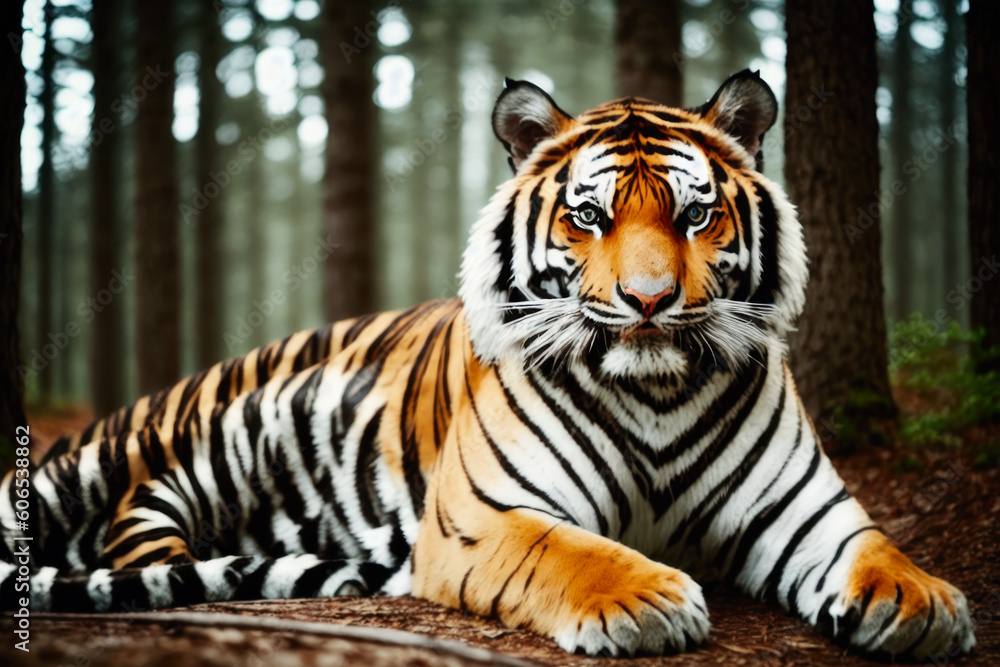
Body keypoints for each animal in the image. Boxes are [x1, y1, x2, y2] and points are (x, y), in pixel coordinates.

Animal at [1, 70, 976, 660]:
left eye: (696, 215)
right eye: (589, 217)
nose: (650, 301)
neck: (659, 388)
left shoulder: (807, 507)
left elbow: (875, 546)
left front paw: (923, 603)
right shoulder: (486, 511)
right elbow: (568, 550)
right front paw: (646, 600)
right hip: (104, 461)